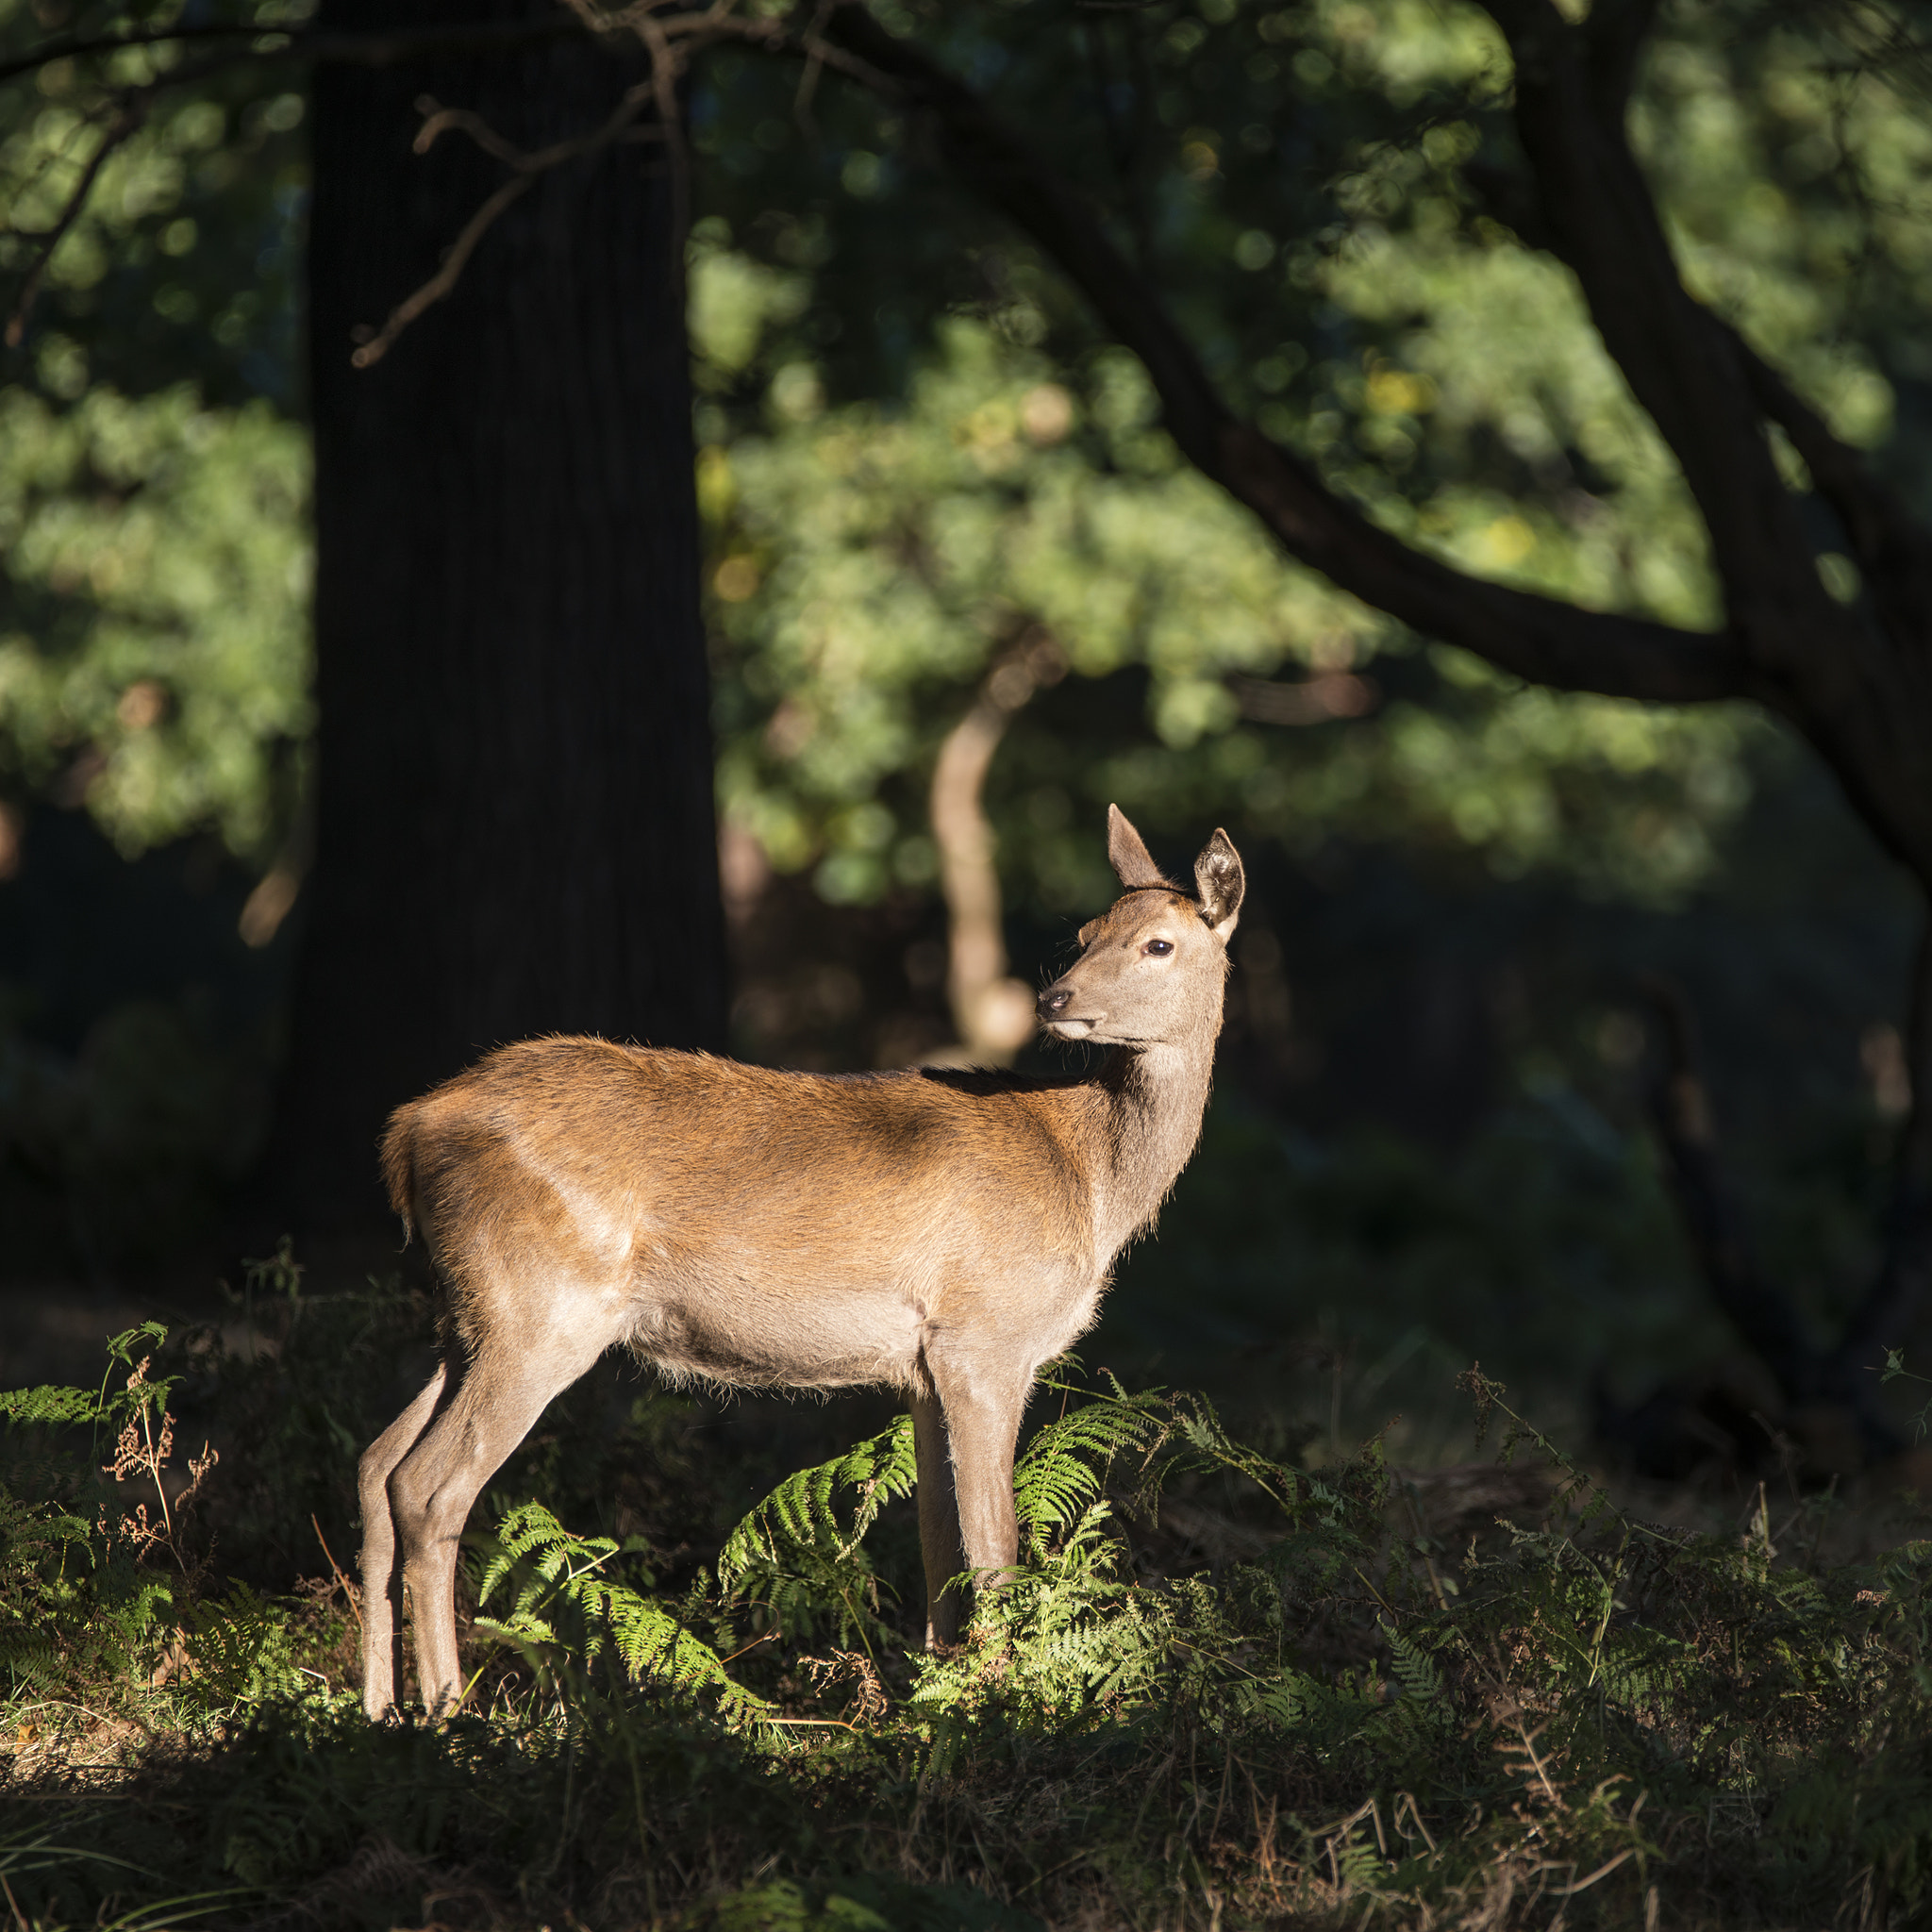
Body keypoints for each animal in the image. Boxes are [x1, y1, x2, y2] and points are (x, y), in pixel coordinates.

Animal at [358, 805, 1243, 1718]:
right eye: (1086, 933)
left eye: (1157, 943)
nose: (1055, 996)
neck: (1090, 1182)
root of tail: (410, 1130)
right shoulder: (985, 1336)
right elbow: (993, 1548)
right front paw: (1001, 1707)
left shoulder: (927, 1365)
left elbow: (938, 1543)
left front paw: (937, 1698)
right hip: (541, 1309)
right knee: (428, 1485)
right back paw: (448, 1707)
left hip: (467, 1314)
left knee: (375, 1465)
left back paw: (378, 1707)